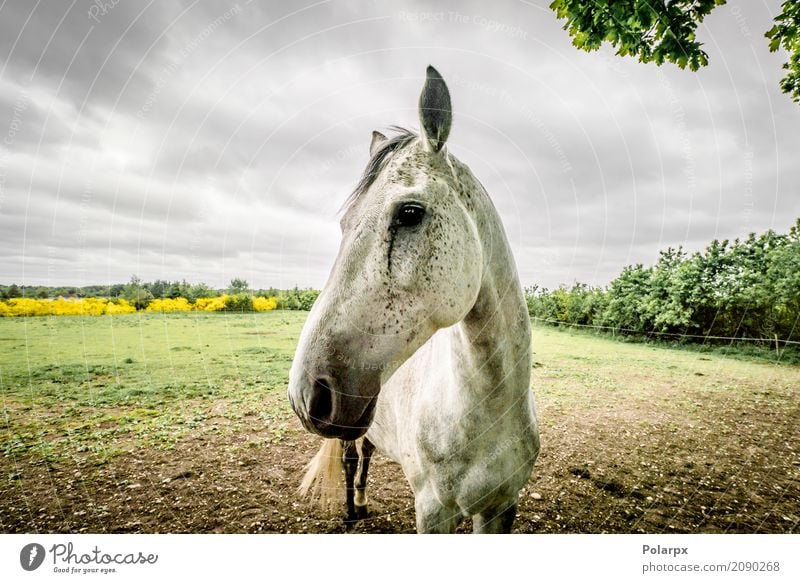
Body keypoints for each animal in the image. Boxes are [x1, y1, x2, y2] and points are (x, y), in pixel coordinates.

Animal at [286, 66, 536, 536]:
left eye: (409, 213)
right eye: (345, 225)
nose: (305, 394)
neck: (486, 411)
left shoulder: (501, 507)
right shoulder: (434, 511)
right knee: (351, 459)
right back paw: (352, 510)